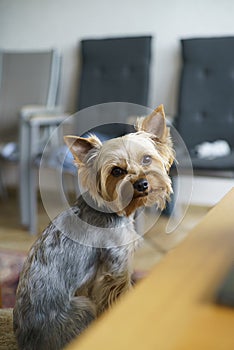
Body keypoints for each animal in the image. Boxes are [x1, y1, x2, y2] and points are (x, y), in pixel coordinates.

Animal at [12, 104, 174, 350]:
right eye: (116, 171)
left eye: (147, 159)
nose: (142, 184)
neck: (115, 210)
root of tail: (27, 342)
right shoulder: (117, 266)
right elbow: (119, 294)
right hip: (81, 308)